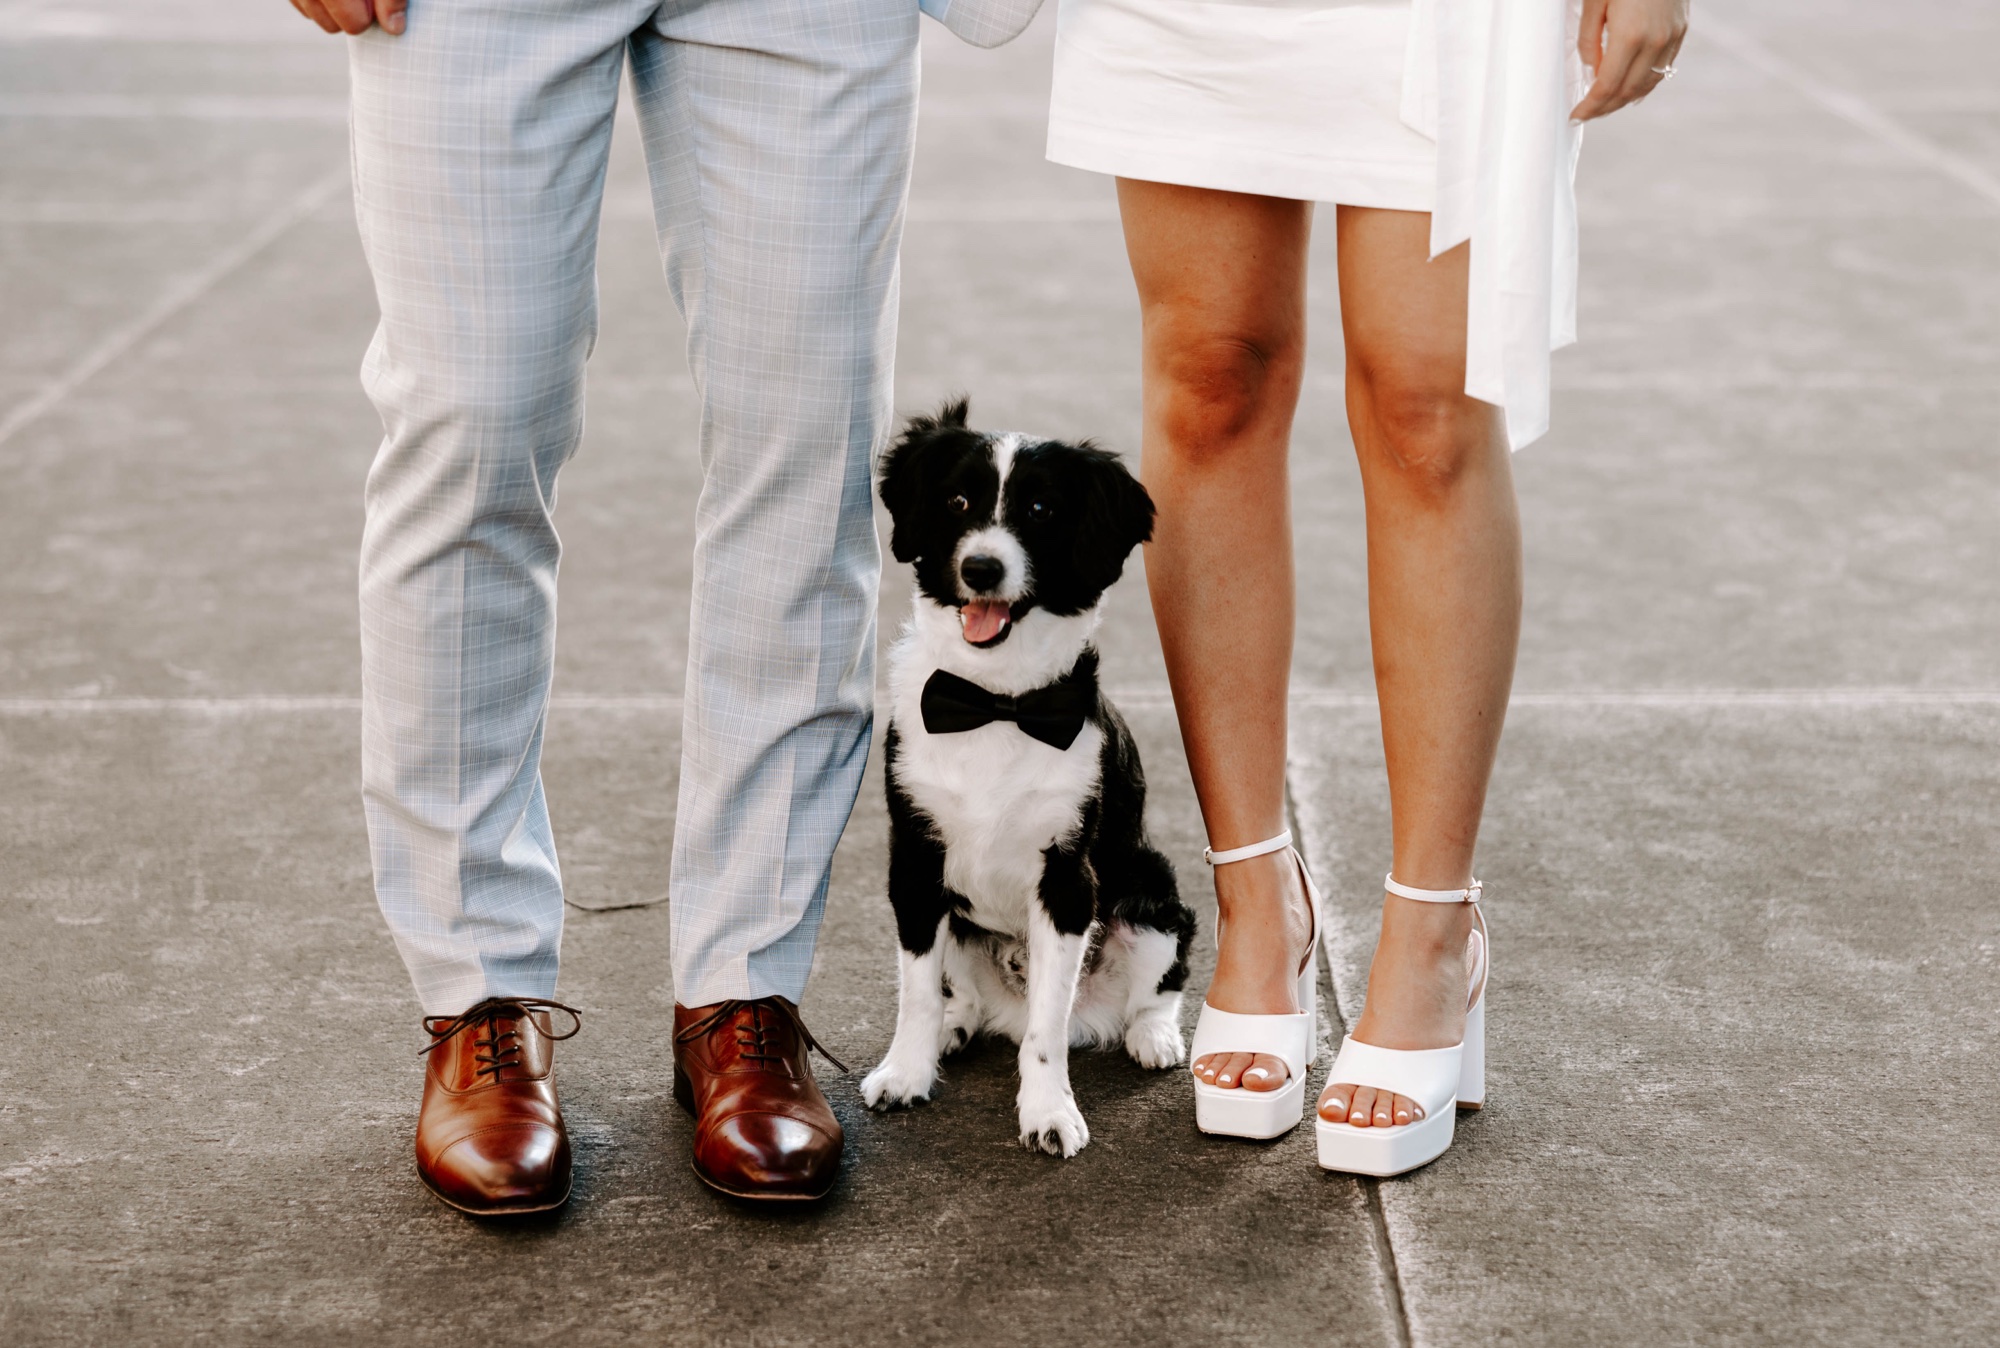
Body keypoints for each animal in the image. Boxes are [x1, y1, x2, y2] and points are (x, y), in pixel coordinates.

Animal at [856, 400, 1184, 1152]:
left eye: (1039, 510)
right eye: (957, 502)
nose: (980, 567)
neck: (995, 700)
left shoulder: (1067, 879)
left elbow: (1046, 1032)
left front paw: (1048, 1112)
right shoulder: (914, 862)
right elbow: (916, 995)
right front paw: (906, 1073)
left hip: (1152, 891)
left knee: (1156, 990)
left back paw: (1153, 1037)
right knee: (963, 997)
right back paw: (957, 1026)